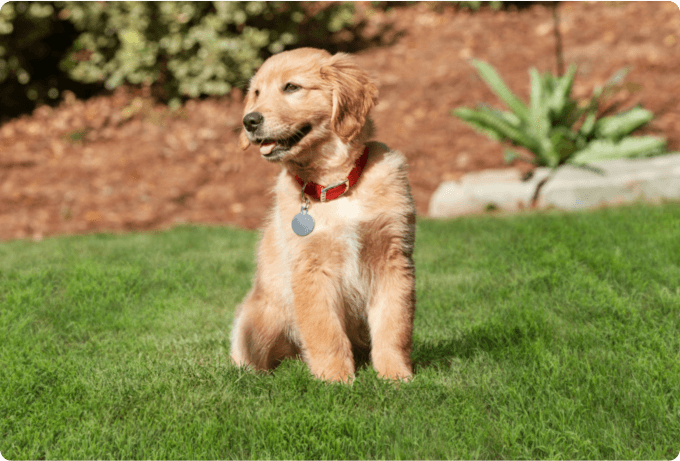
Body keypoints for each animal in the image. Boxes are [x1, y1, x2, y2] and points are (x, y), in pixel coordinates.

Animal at [231, 46, 418, 380]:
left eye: (291, 87)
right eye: (256, 93)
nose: (248, 120)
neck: (334, 185)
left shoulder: (393, 260)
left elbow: (394, 325)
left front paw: (397, 376)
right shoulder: (310, 268)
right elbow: (325, 330)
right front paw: (335, 380)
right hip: (253, 322)